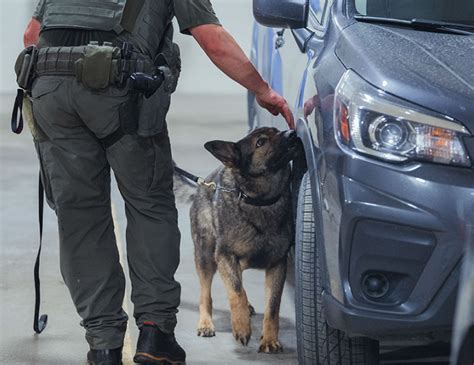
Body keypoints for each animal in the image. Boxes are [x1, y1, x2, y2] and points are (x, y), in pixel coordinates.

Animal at [188, 126, 296, 352]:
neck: (261, 201)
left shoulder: (277, 265)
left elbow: (272, 307)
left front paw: (269, 339)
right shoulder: (225, 256)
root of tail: (204, 184)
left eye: (276, 130)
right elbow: (236, 292)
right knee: (205, 295)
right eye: (260, 142)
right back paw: (206, 323)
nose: (292, 133)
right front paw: (241, 326)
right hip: (206, 257)